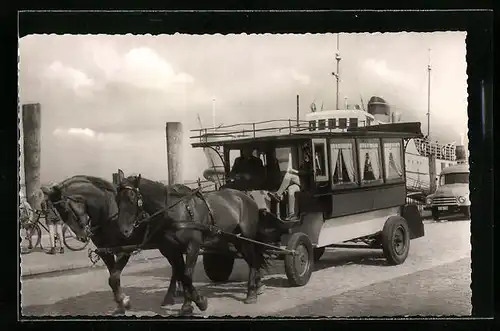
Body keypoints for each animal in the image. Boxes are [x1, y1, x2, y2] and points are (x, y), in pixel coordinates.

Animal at [114, 170, 272, 316]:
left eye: (131, 197)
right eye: (117, 199)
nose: (124, 230)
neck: (174, 212)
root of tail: (246, 196)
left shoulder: (193, 246)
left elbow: (186, 275)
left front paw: (199, 302)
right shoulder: (173, 250)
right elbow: (181, 275)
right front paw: (188, 305)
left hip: (247, 236)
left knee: (253, 260)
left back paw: (251, 293)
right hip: (236, 239)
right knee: (252, 259)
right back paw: (257, 286)